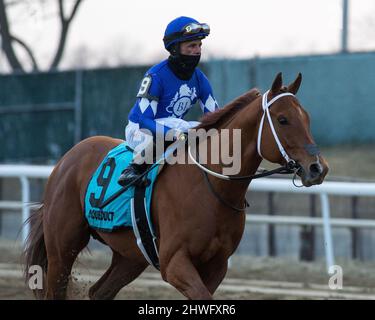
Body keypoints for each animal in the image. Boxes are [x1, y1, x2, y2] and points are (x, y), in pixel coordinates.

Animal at [23, 73, 328, 300]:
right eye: (283, 119)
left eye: (307, 118)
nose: (318, 168)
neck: (211, 187)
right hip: (63, 247)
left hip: (131, 255)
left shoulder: (217, 264)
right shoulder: (174, 262)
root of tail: (67, 159)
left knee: (99, 292)